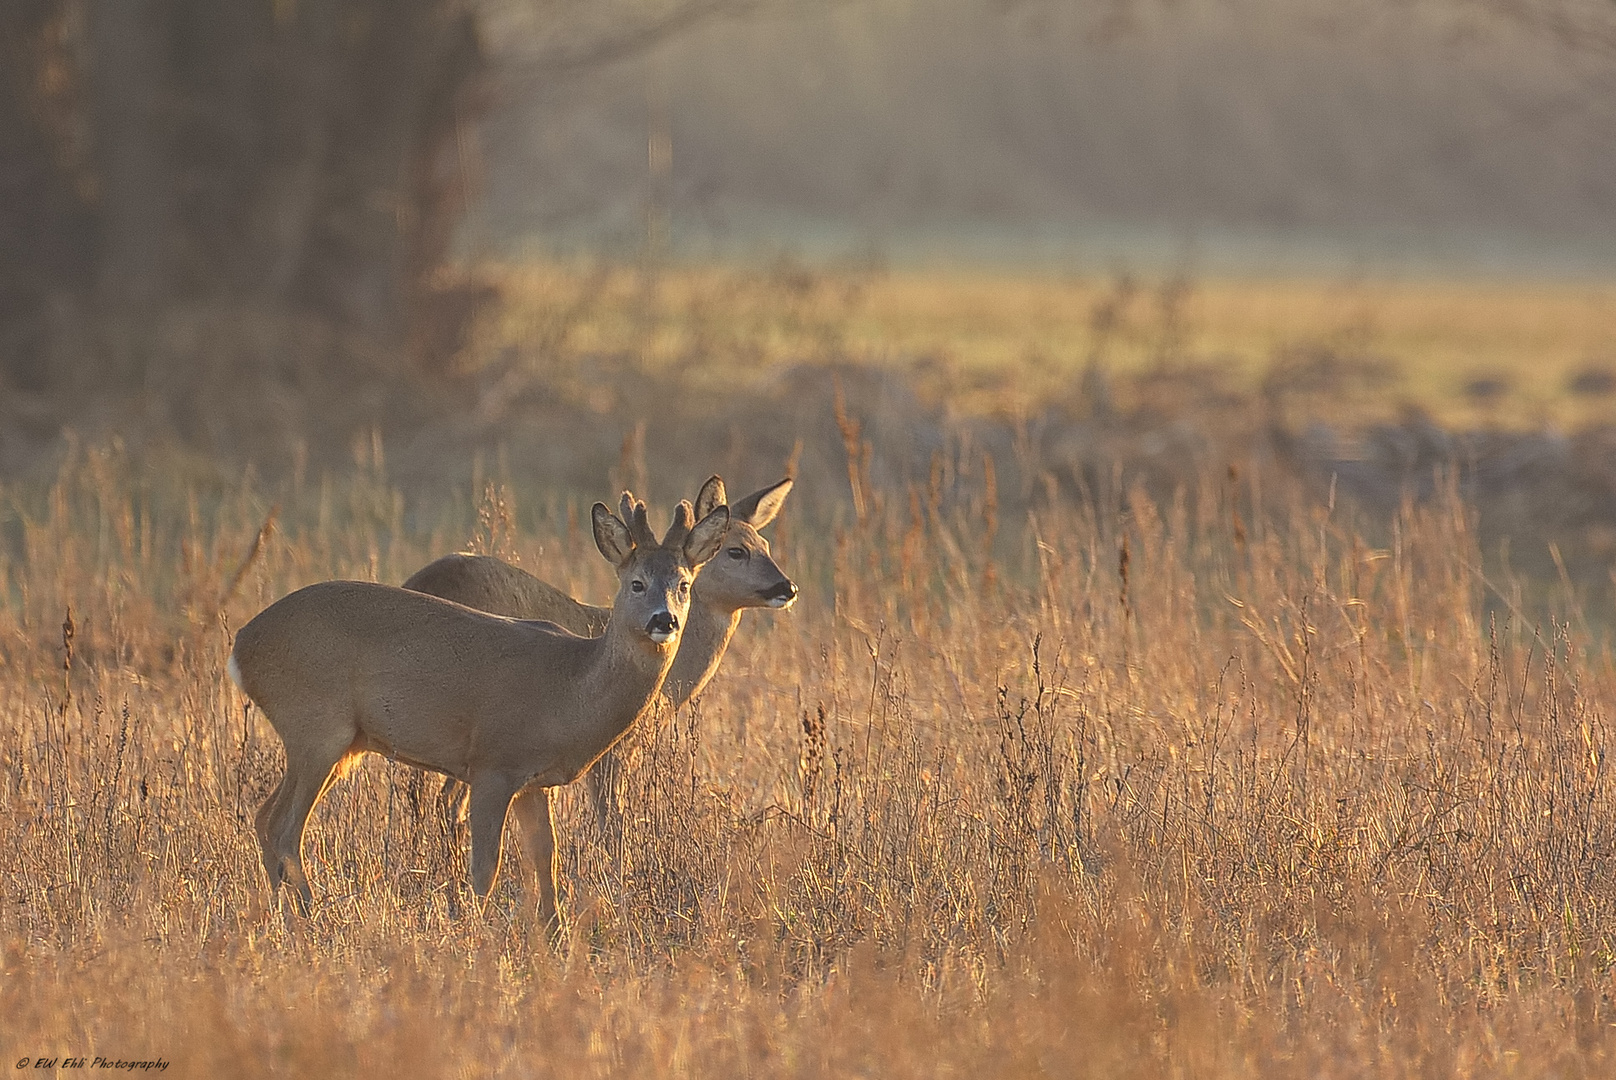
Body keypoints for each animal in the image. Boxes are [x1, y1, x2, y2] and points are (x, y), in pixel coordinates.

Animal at [229, 494, 733, 924]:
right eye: (636, 583)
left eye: (684, 584)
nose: (664, 620)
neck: (568, 689)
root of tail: (241, 648)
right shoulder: (493, 763)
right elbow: (486, 868)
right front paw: (475, 930)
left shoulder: (534, 782)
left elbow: (545, 861)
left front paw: (556, 937)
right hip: (316, 726)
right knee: (284, 826)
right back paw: (311, 914)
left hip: (340, 744)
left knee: (264, 818)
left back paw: (286, 911)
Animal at [404, 475, 795, 827]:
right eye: (736, 550)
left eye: (765, 543)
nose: (787, 587)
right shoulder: (610, 748)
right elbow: (611, 818)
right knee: (447, 801)